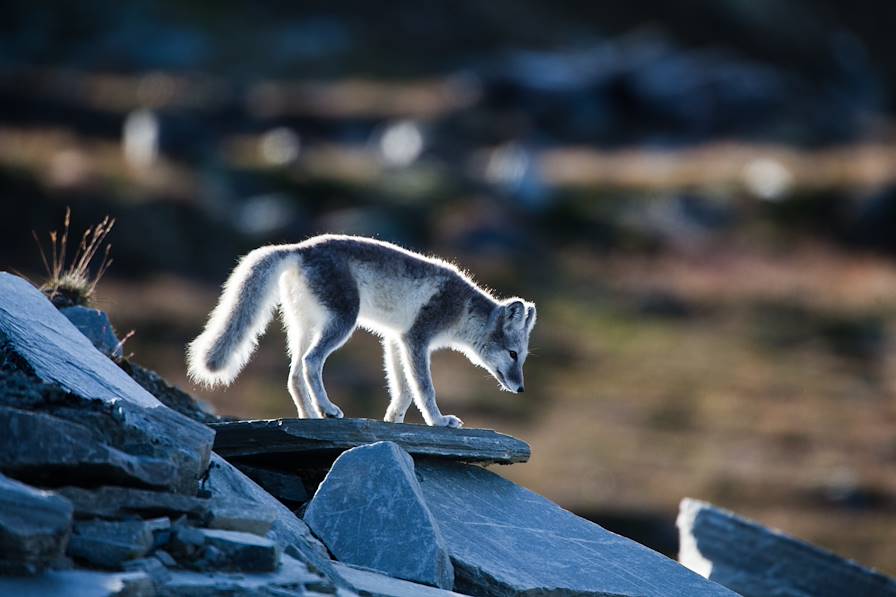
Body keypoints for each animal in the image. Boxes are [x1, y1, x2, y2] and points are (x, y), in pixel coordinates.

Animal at [186, 235, 536, 426]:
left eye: (523, 357)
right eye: (512, 354)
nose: (521, 389)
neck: (464, 310)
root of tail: (300, 248)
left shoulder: (396, 340)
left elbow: (403, 389)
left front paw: (393, 421)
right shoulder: (416, 340)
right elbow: (424, 389)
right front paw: (438, 421)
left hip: (303, 328)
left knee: (294, 374)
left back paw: (311, 415)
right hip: (342, 323)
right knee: (311, 363)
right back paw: (327, 409)